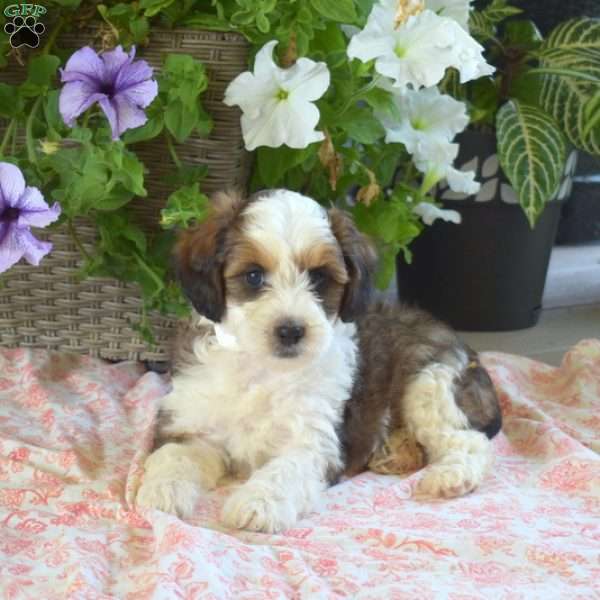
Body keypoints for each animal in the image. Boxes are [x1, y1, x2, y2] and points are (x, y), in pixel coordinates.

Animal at [137, 190, 502, 532]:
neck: (263, 370)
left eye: (318, 277)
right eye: (253, 276)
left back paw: (450, 476)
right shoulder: (192, 425)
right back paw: (396, 453)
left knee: (469, 440)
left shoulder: (316, 442)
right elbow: (173, 454)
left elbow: (286, 469)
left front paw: (259, 502)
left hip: (429, 384)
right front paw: (161, 491)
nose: (290, 330)